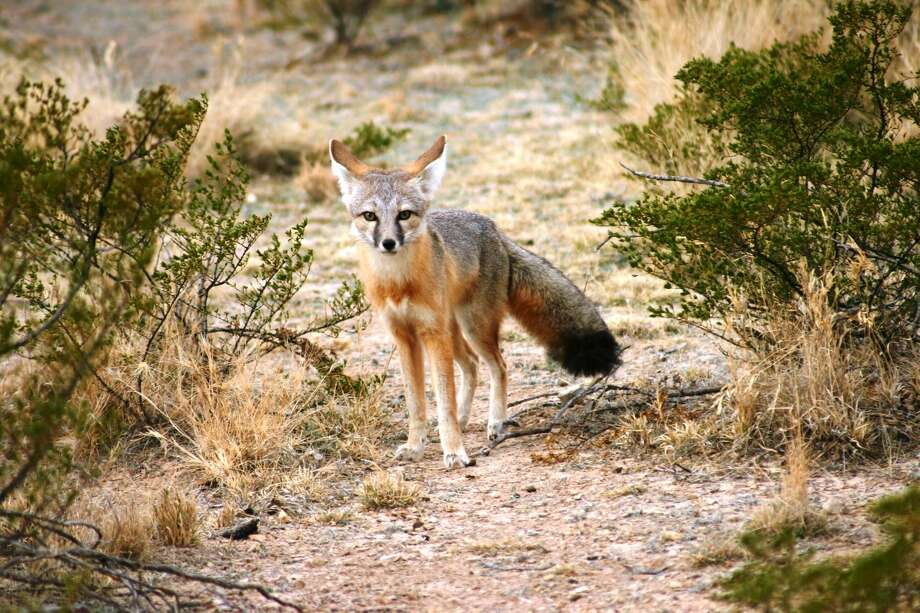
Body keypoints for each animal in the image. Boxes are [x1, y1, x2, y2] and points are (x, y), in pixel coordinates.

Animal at [328, 135, 620, 468]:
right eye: (370, 216)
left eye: (404, 215)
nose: (388, 243)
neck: (399, 284)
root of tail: (493, 227)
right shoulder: (404, 337)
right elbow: (417, 403)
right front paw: (415, 446)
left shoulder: (432, 334)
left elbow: (444, 400)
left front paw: (454, 451)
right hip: (455, 332)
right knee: (471, 365)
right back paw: (465, 419)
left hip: (472, 327)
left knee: (498, 366)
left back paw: (496, 423)